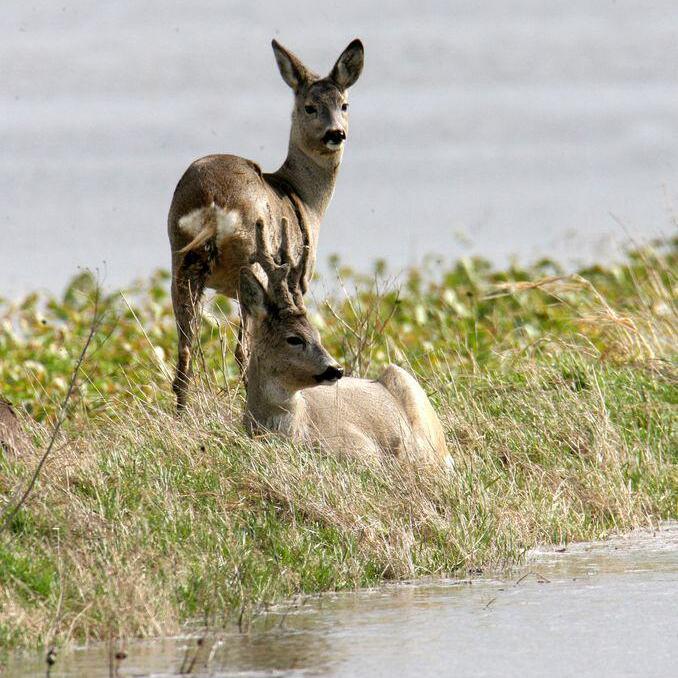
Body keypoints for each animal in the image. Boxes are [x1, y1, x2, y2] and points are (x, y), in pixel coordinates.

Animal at [167, 39, 364, 412]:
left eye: (344, 104)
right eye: (309, 107)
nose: (336, 134)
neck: (304, 197)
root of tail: (212, 200)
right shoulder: (298, 278)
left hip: (181, 257)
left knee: (185, 348)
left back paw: (181, 415)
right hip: (251, 260)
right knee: (242, 348)